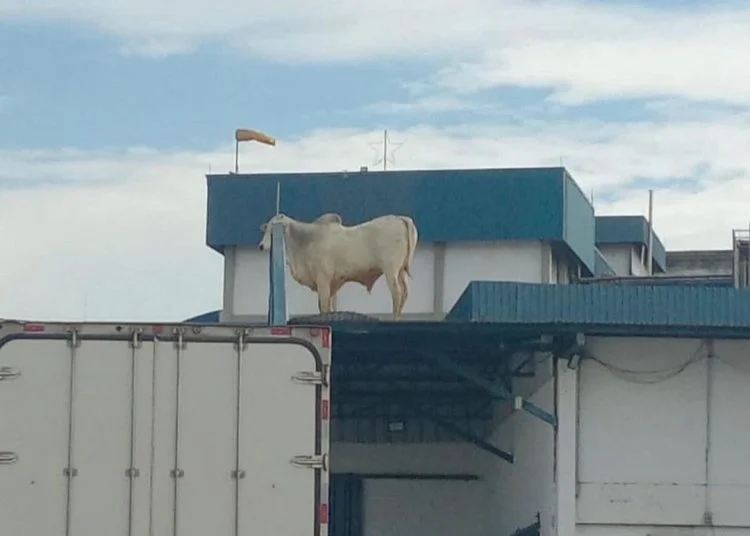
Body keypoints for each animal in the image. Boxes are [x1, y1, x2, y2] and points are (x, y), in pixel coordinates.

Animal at [260, 211, 420, 318]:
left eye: (273, 229)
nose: (261, 246)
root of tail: (399, 218)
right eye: (266, 228)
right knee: (405, 293)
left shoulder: (323, 280)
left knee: (397, 294)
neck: (305, 240)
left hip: (390, 270)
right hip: (401, 271)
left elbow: (324, 306)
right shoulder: (330, 284)